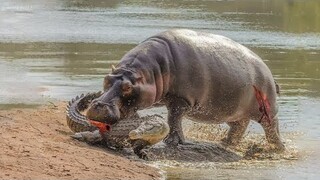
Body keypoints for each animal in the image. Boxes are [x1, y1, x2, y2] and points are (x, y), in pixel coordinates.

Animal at [85, 28, 284, 151]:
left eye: (127, 87)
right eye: (106, 79)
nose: (97, 105)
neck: (151, 72)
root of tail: (268, 72)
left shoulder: (181, 100)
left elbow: (173, 119)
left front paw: (173, 142)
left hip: (266, 110)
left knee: (272, 128)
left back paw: (277, 149)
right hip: (232, 112)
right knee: (239, 126)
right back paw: (225, 143)